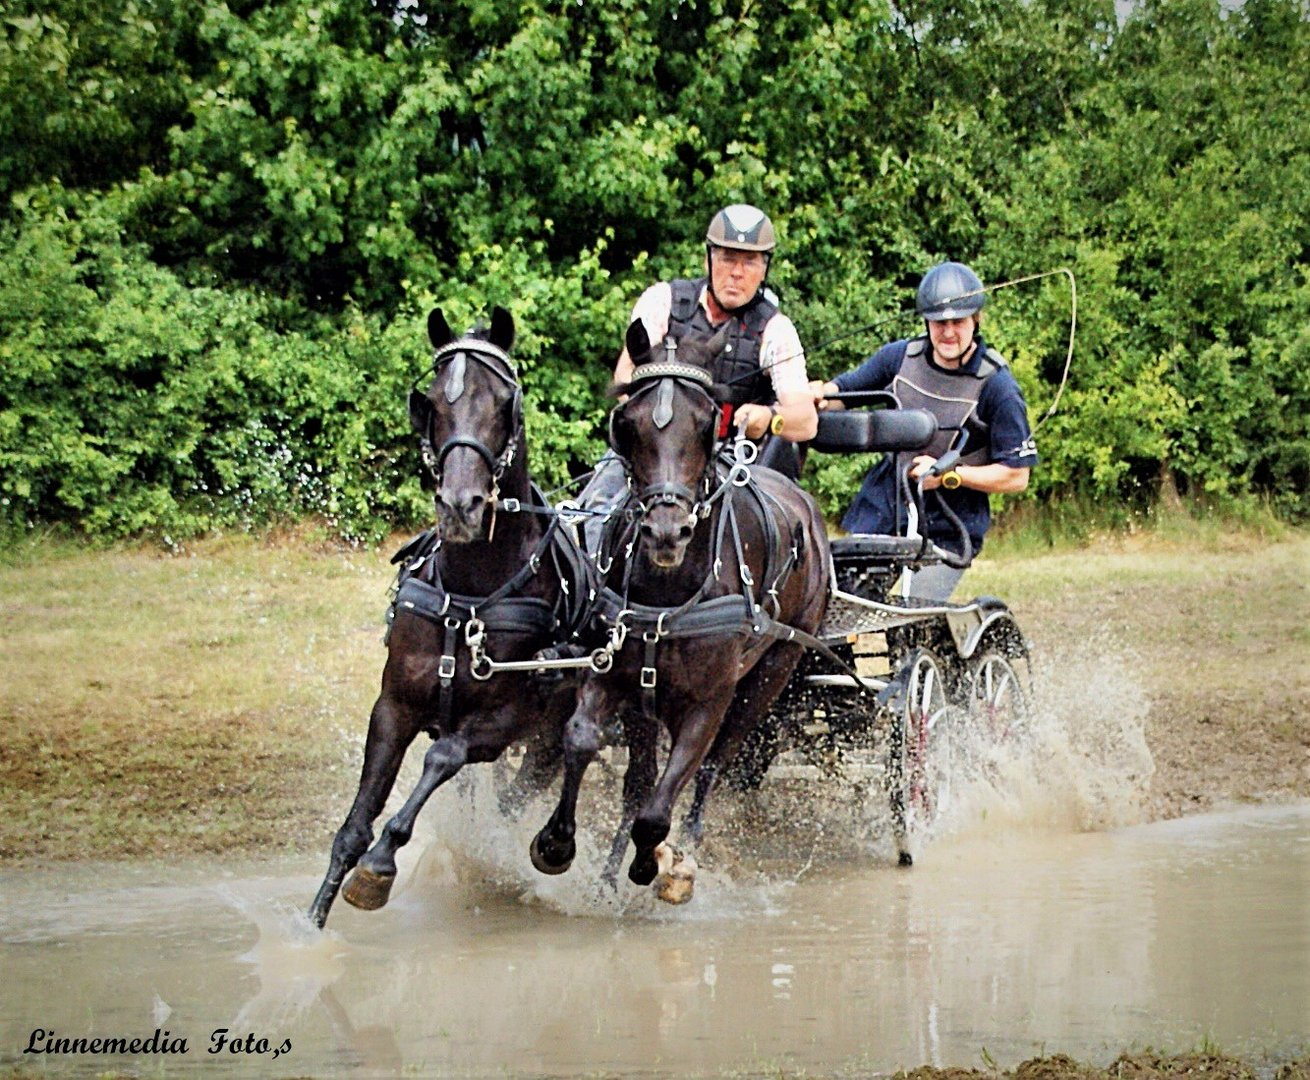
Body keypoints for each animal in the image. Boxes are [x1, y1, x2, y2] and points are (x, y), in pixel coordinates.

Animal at [309, 305, 586, 927]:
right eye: (432, 403)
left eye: (504, 402)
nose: (461, 506)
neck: (471, 596)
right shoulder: (393, 706)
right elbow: (355, 822)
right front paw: (311, 924)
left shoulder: (503, 721)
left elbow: (442, 756)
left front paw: (380, 866)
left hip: (550, 733)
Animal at [524, 322, 822, 901]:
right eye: (628, 423)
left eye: (708, 422)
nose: (667, 532)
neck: (667, 593)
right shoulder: (615, 674)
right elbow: (583, 742)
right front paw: (557, 843)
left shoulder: (708, 703)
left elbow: (659, 807)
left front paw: (655, 864)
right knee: (637, 781)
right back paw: (608, 875)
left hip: (771, 674)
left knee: (712, 769)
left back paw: (682, 851)